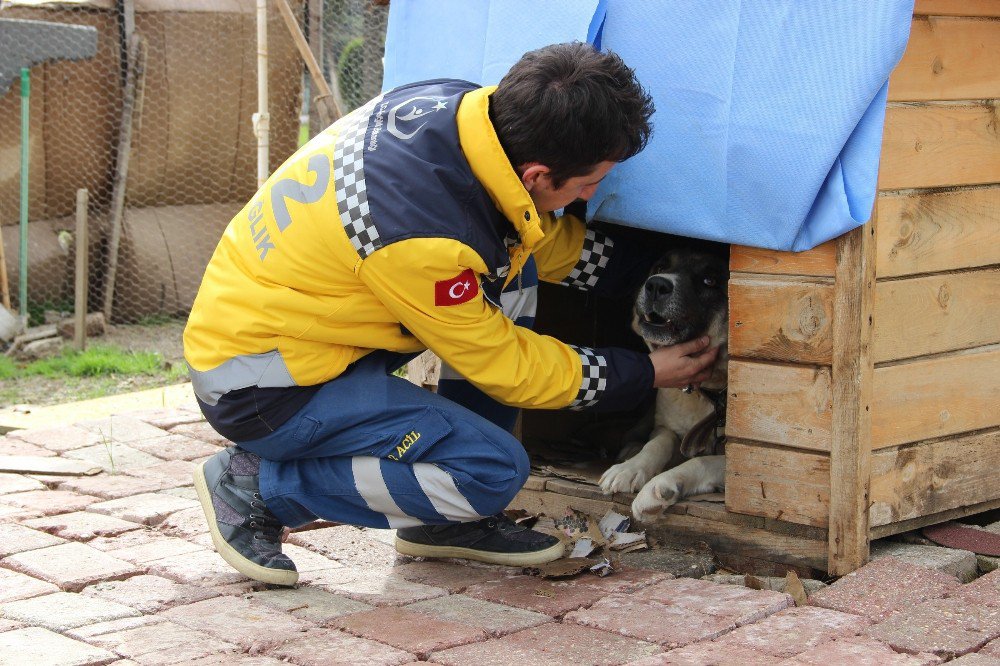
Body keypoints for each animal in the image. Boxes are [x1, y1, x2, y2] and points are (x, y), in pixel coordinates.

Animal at [596, 245, 732, 520]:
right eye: (660, 267)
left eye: (709, 280)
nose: (656, 285)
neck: (707, 393)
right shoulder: (665, 426)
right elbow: (658, 442)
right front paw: (630, 468)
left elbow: (701, 460)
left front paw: (661, 485)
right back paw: (630, 451)